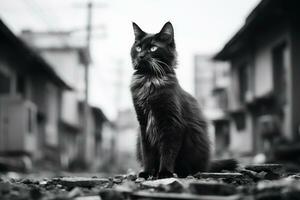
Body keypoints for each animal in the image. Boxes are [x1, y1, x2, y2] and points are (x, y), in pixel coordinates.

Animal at [130, 21, 236, 178]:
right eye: (138, 48)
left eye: (153, 48)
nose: (141, 55)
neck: (150, 80)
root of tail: (208, 164)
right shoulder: (143, 124)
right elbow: (147, 152)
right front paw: (147, 172)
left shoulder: (172, 123)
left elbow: (168, 151)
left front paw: (164, 173)